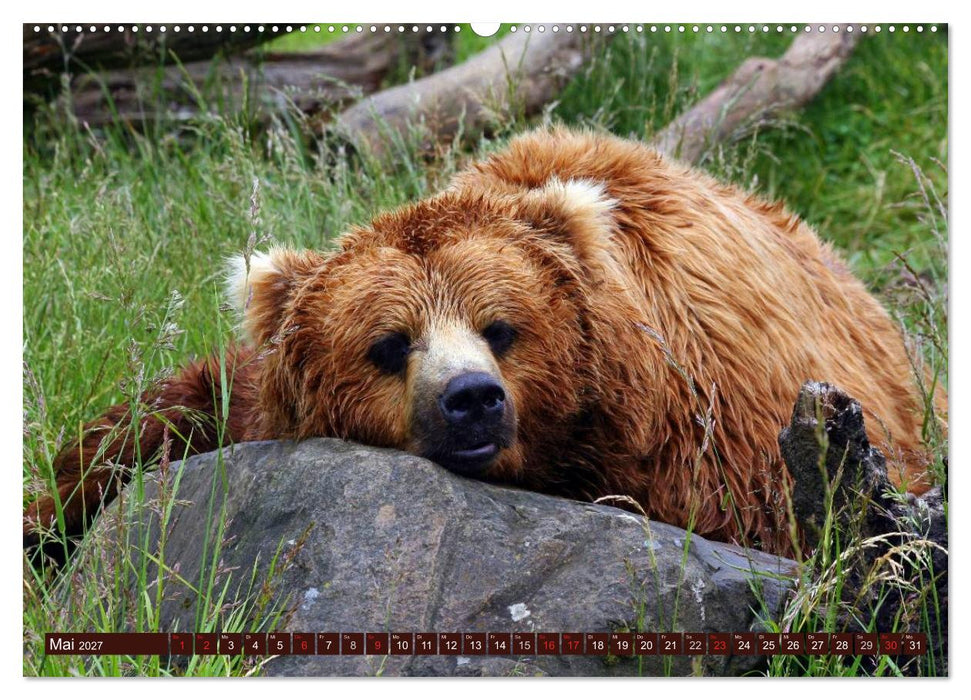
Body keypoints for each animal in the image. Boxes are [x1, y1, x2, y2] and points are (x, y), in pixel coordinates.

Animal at [23, 127, 944, 562]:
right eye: (388, 343)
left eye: (502, 327)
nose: (470, 399)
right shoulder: (248, 404)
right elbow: (151, 426)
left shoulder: (723, 425)